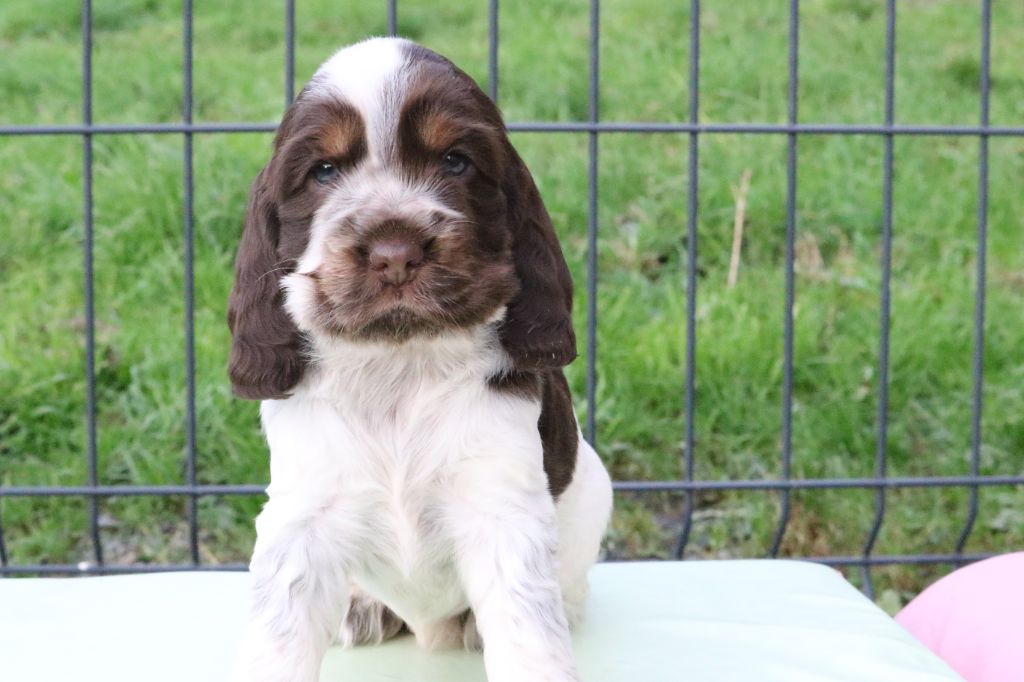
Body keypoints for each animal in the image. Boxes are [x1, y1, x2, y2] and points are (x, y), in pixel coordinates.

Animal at [228, 38, 610, 679]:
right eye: (323, 171)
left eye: (455, 162)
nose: (394, 254)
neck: (397, 366)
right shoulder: (304, 516)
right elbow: (278, 639)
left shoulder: (500, 509)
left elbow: (530, 635)